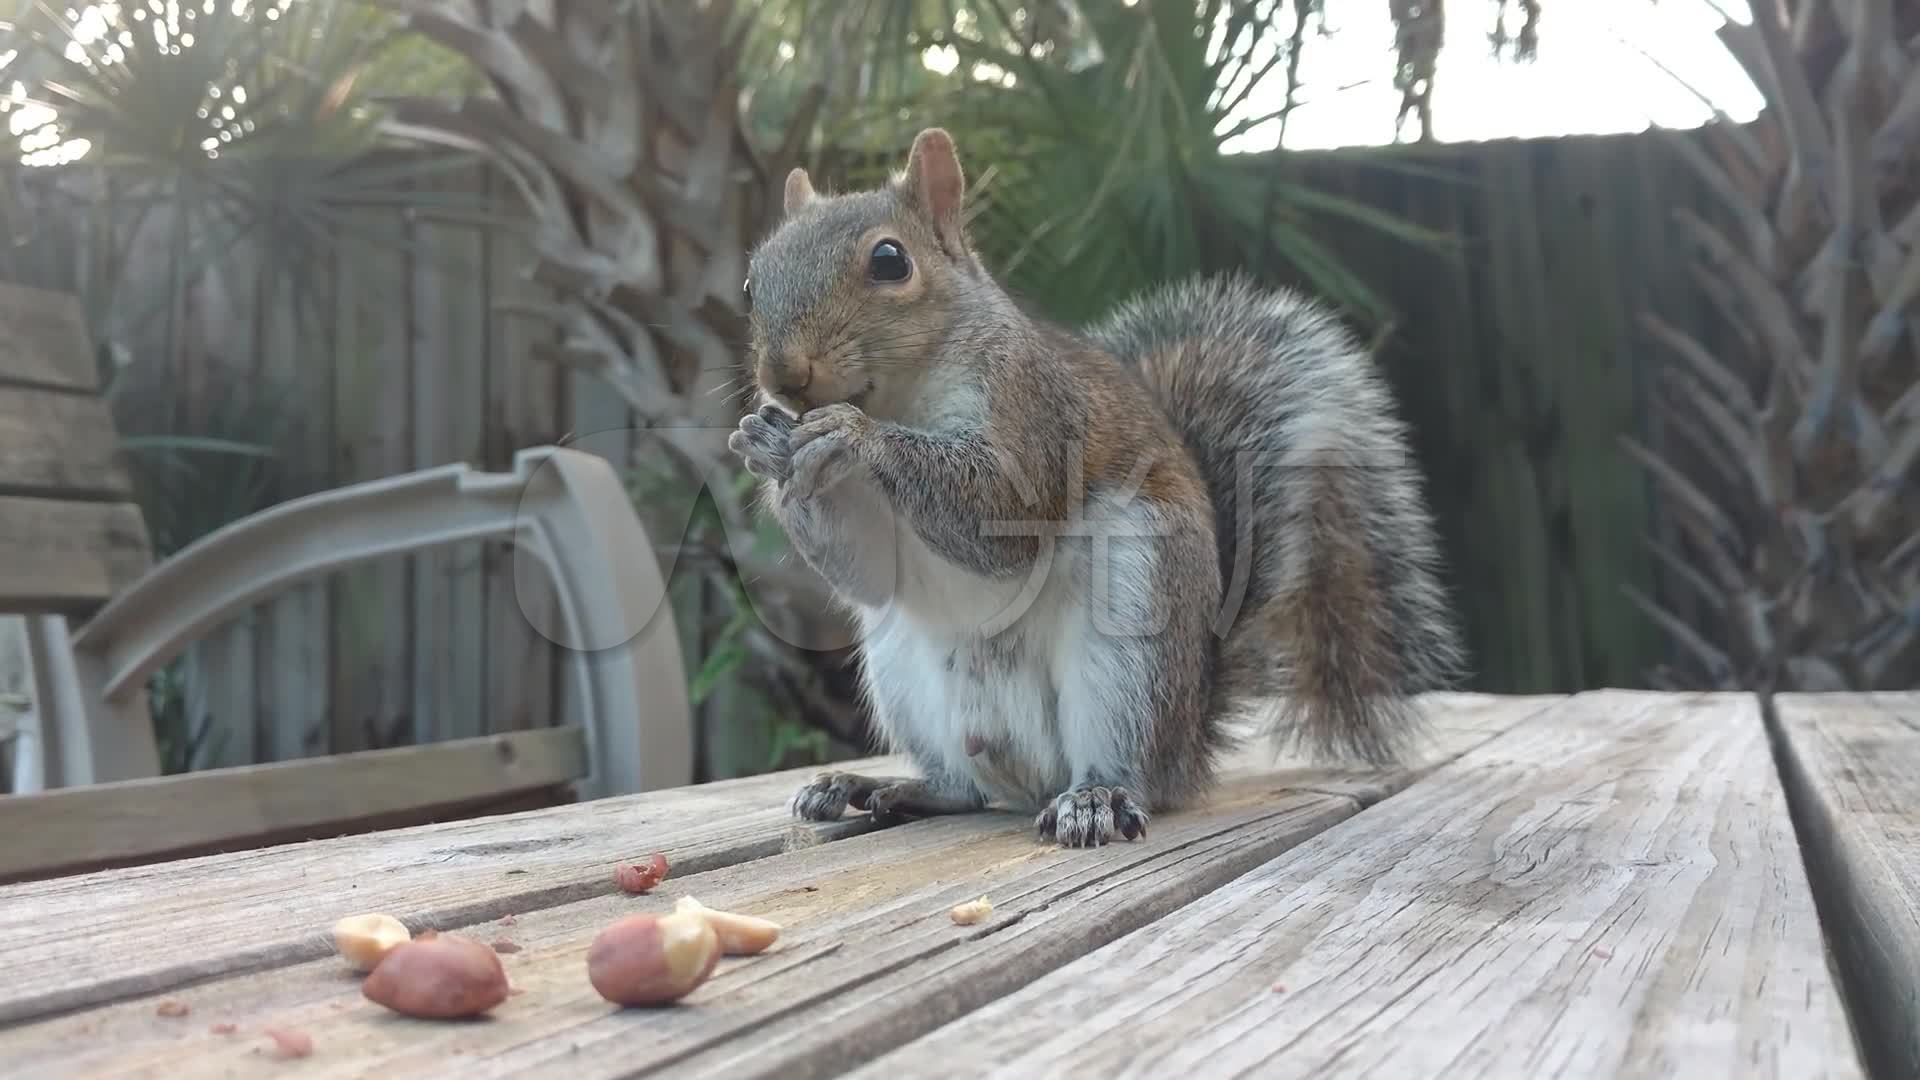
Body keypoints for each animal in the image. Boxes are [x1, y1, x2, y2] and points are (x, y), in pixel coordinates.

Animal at [725, 125, 1459, 845]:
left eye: (889, 261)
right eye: (751, 281)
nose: (783, 375)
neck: (900, 397)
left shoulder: (1033, 411)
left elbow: (999, 515)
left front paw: (855, 435)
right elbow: (870, 571)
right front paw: (766, 446)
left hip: (1131, 630)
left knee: (1124, 764)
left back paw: (1095, 798)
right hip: (901, 665)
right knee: (963, 788)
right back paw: (876, 786)